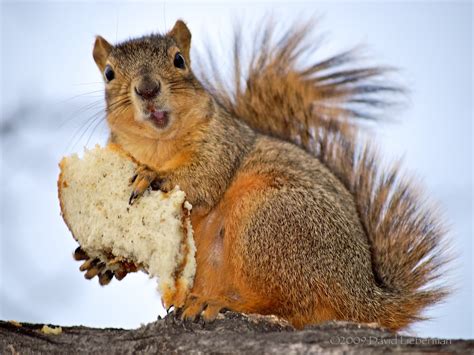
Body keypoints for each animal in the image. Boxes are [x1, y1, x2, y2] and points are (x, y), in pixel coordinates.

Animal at [74, 19, 448, 330]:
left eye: (179, 60)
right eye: (109, 73)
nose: (148, 89)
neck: (157, 146)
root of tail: (361, 293)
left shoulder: (223, 145)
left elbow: (204, 180)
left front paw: (152, 177)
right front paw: (105, 260)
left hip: (268, 220)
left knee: (292, 306)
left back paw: (221, 304)